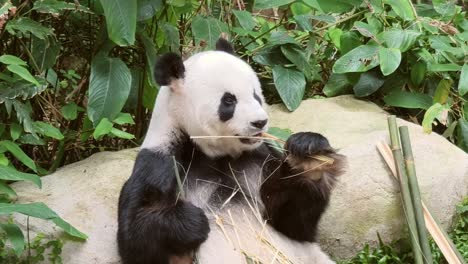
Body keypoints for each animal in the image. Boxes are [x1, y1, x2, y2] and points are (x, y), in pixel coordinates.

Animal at [117, 37, 344, 264]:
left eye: (256, 95)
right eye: (229, 100)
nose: (260, 122)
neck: (215, 152)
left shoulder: (260, 158)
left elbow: (292, 224)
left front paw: (309, 161)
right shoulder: (162, 159)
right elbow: (134, 236)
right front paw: (191, 220)